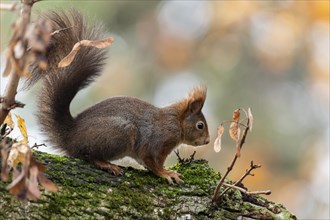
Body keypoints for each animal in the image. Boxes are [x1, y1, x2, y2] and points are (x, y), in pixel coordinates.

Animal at [28, 10, 209, 184]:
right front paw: (166, 173)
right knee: (87, 155)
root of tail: (70, 136)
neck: (176, 122)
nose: (207, 141)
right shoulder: (158, 140)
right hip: (121, 132)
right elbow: (152, 162)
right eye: (200, 125)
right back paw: (106, 164)